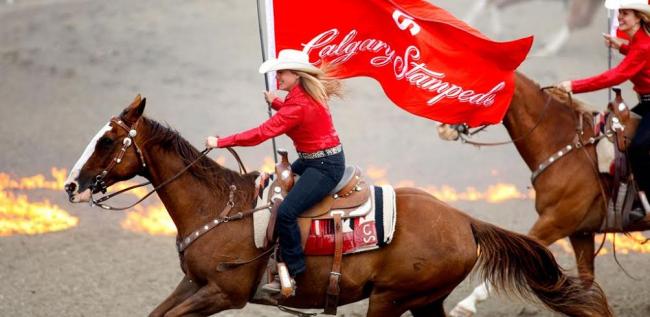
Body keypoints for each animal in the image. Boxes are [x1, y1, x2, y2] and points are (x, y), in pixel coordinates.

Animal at [63, 95, 612, 314]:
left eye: (107, 141)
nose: (71, 185)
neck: (218, 208)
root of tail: (465, 220)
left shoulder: (222, 293)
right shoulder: (193, 284)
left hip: (391, 300)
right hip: (424, 301)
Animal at [448, 71, 648, 316]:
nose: (443, 127)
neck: (567, 146)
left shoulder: (554, 222)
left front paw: (465, 305)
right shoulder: (580, 233)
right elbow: (587, 285)